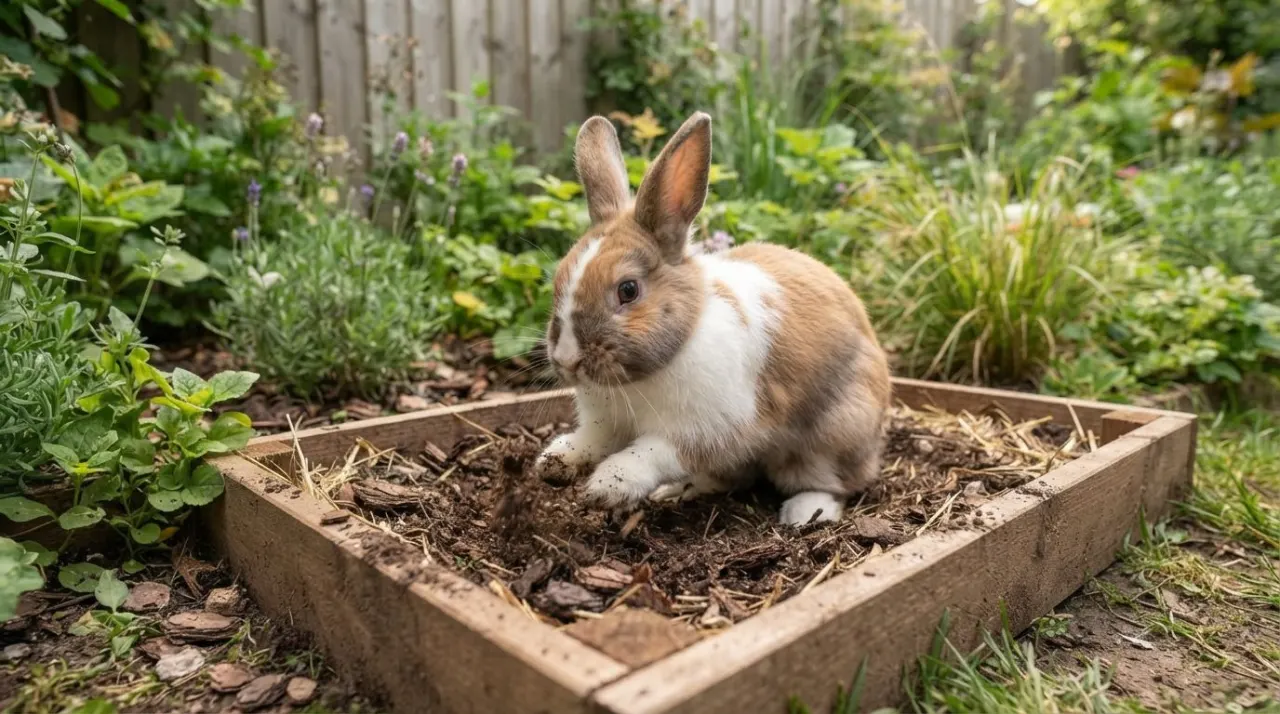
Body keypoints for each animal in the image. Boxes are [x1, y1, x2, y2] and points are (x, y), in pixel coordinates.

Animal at [535, 111, 892, 526]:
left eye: (628, 290)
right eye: (559, 278)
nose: (566, 359)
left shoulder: (705, 429)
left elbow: (651, 454)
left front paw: (608, 485)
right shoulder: (606, 423)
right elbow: (590, 440)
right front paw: (553, 461)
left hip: (831, 438)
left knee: (839, 483)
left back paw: (803, 513)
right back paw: (680, 490)